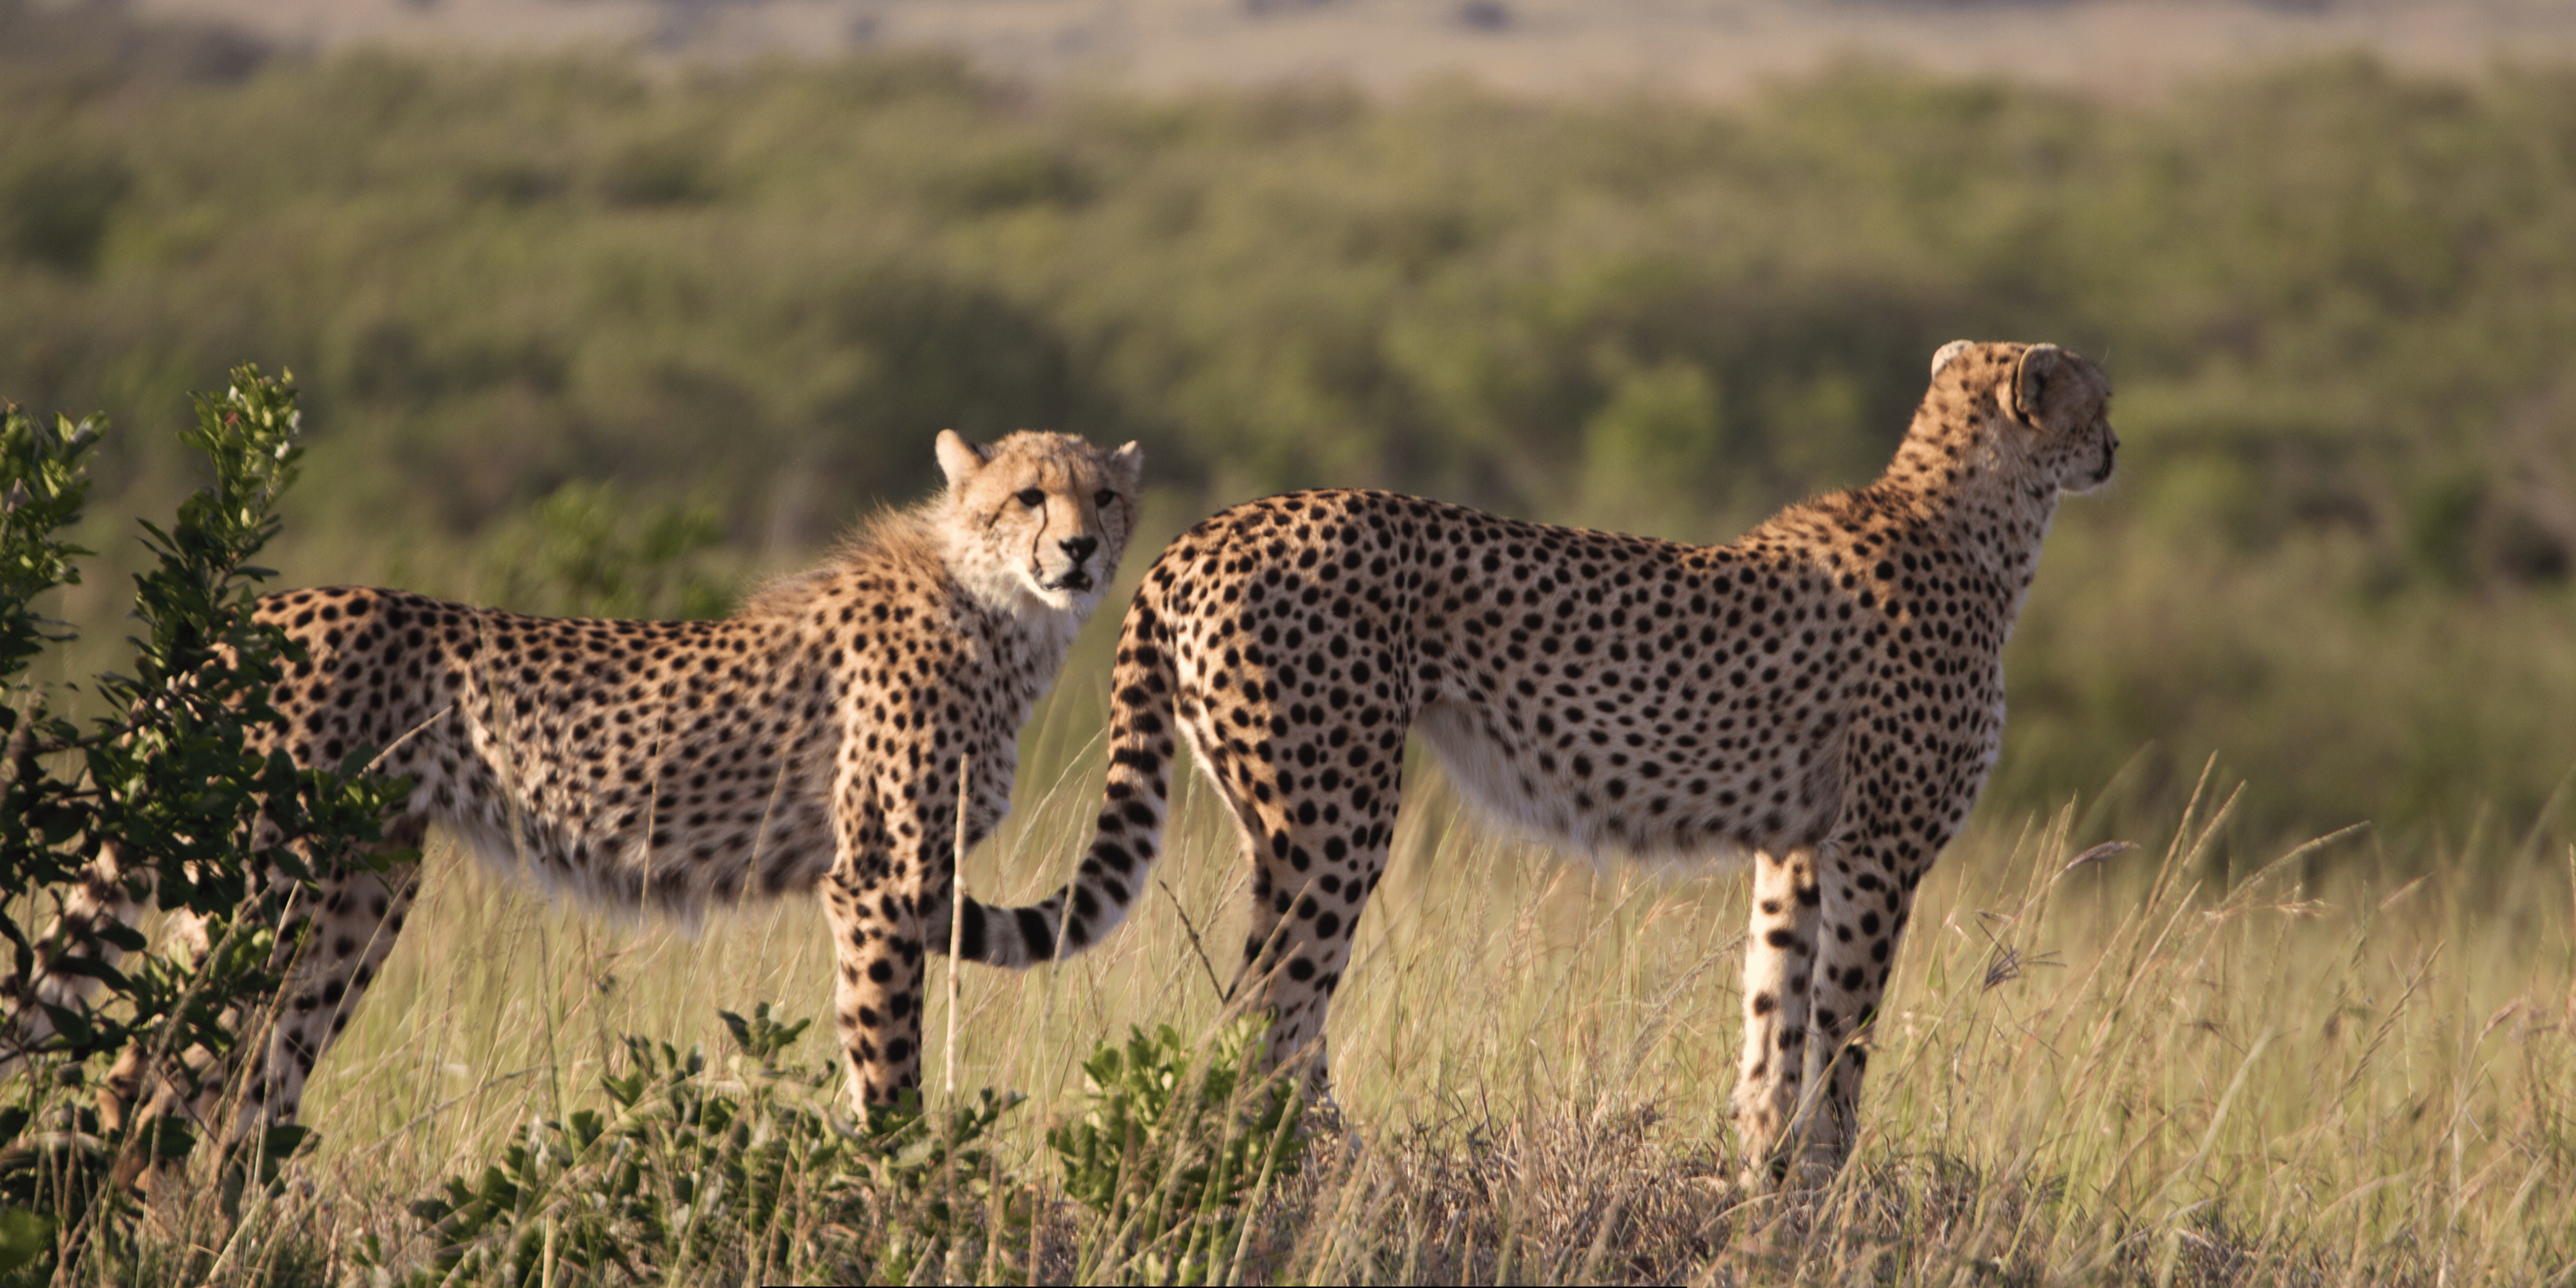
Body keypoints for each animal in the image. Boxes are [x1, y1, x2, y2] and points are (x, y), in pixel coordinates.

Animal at [10, 430, 1139, 1128]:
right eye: (1029, 496)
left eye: (1107, 495)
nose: (1082, 546)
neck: (1001, 607)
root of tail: (256, 615)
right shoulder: (878, 881)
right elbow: (887, 1071)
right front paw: (899, 1191)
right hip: (264, 895)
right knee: (142, 1084)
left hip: (358, 896)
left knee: (242, 1097)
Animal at [948, 340, 2112, 1180]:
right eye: (2095, 398)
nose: (2115, 447)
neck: (1969, 520)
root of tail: (1205, 530)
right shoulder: (1879, 850)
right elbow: (1844, 1033)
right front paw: (1829, 1185)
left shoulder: (1796, 851)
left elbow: (1771, 1019)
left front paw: (1766, 1179)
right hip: (1335, 817)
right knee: (1268, 1016)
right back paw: (1327, 1175)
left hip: (1280, 819)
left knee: (1269, 1013)